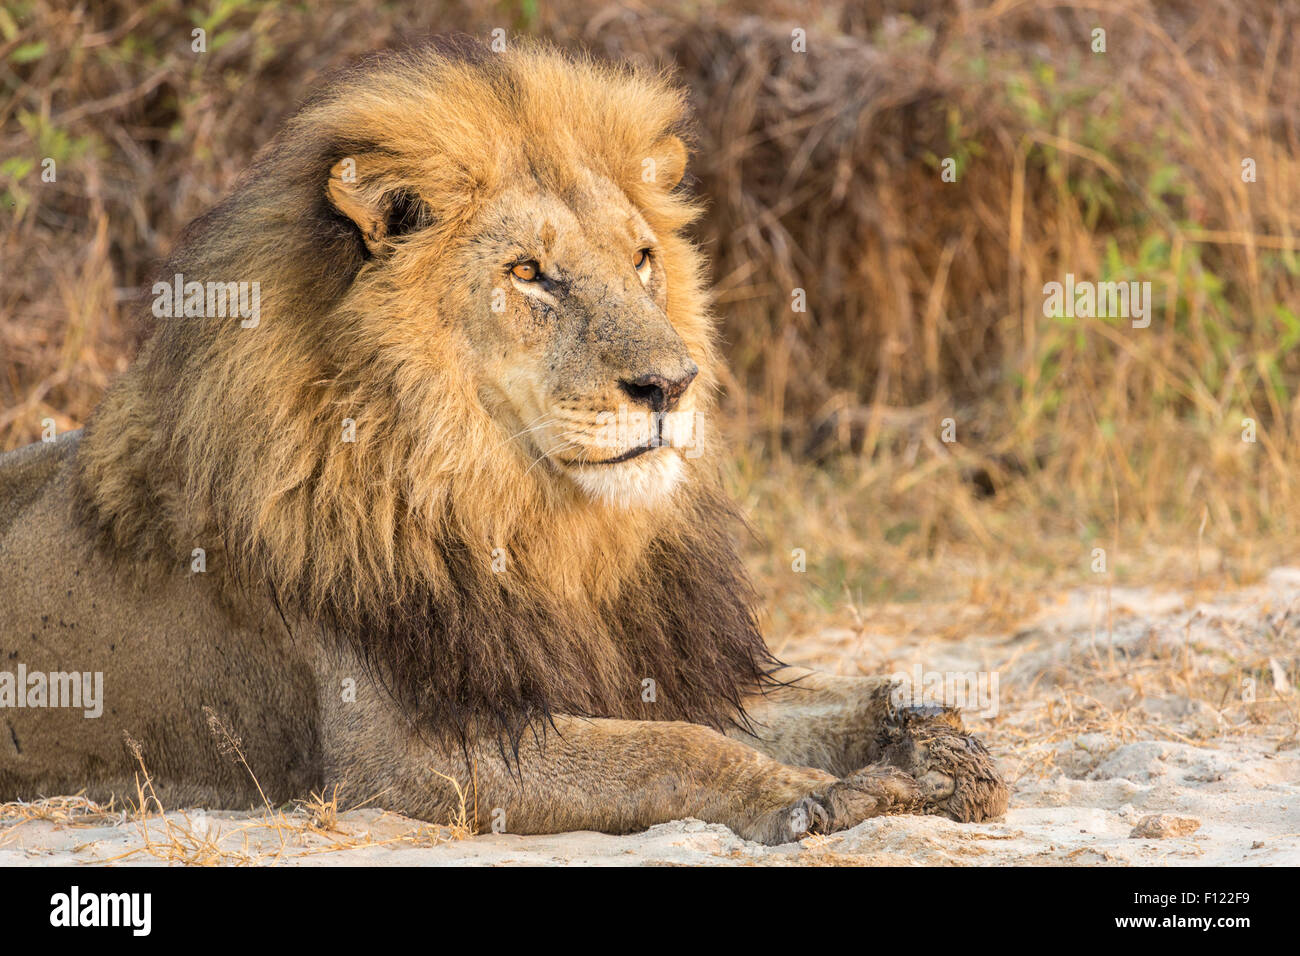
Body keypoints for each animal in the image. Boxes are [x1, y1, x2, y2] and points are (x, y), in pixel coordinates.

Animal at [0, 38, 1007, 844]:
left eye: (643, 259)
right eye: (530, 274)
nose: (673, 386)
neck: (529, 519)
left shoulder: (633, 668)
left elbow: (799, 703)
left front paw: (931, 745)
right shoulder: (408, 757)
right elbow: (672, 750)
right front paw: (815, 795)